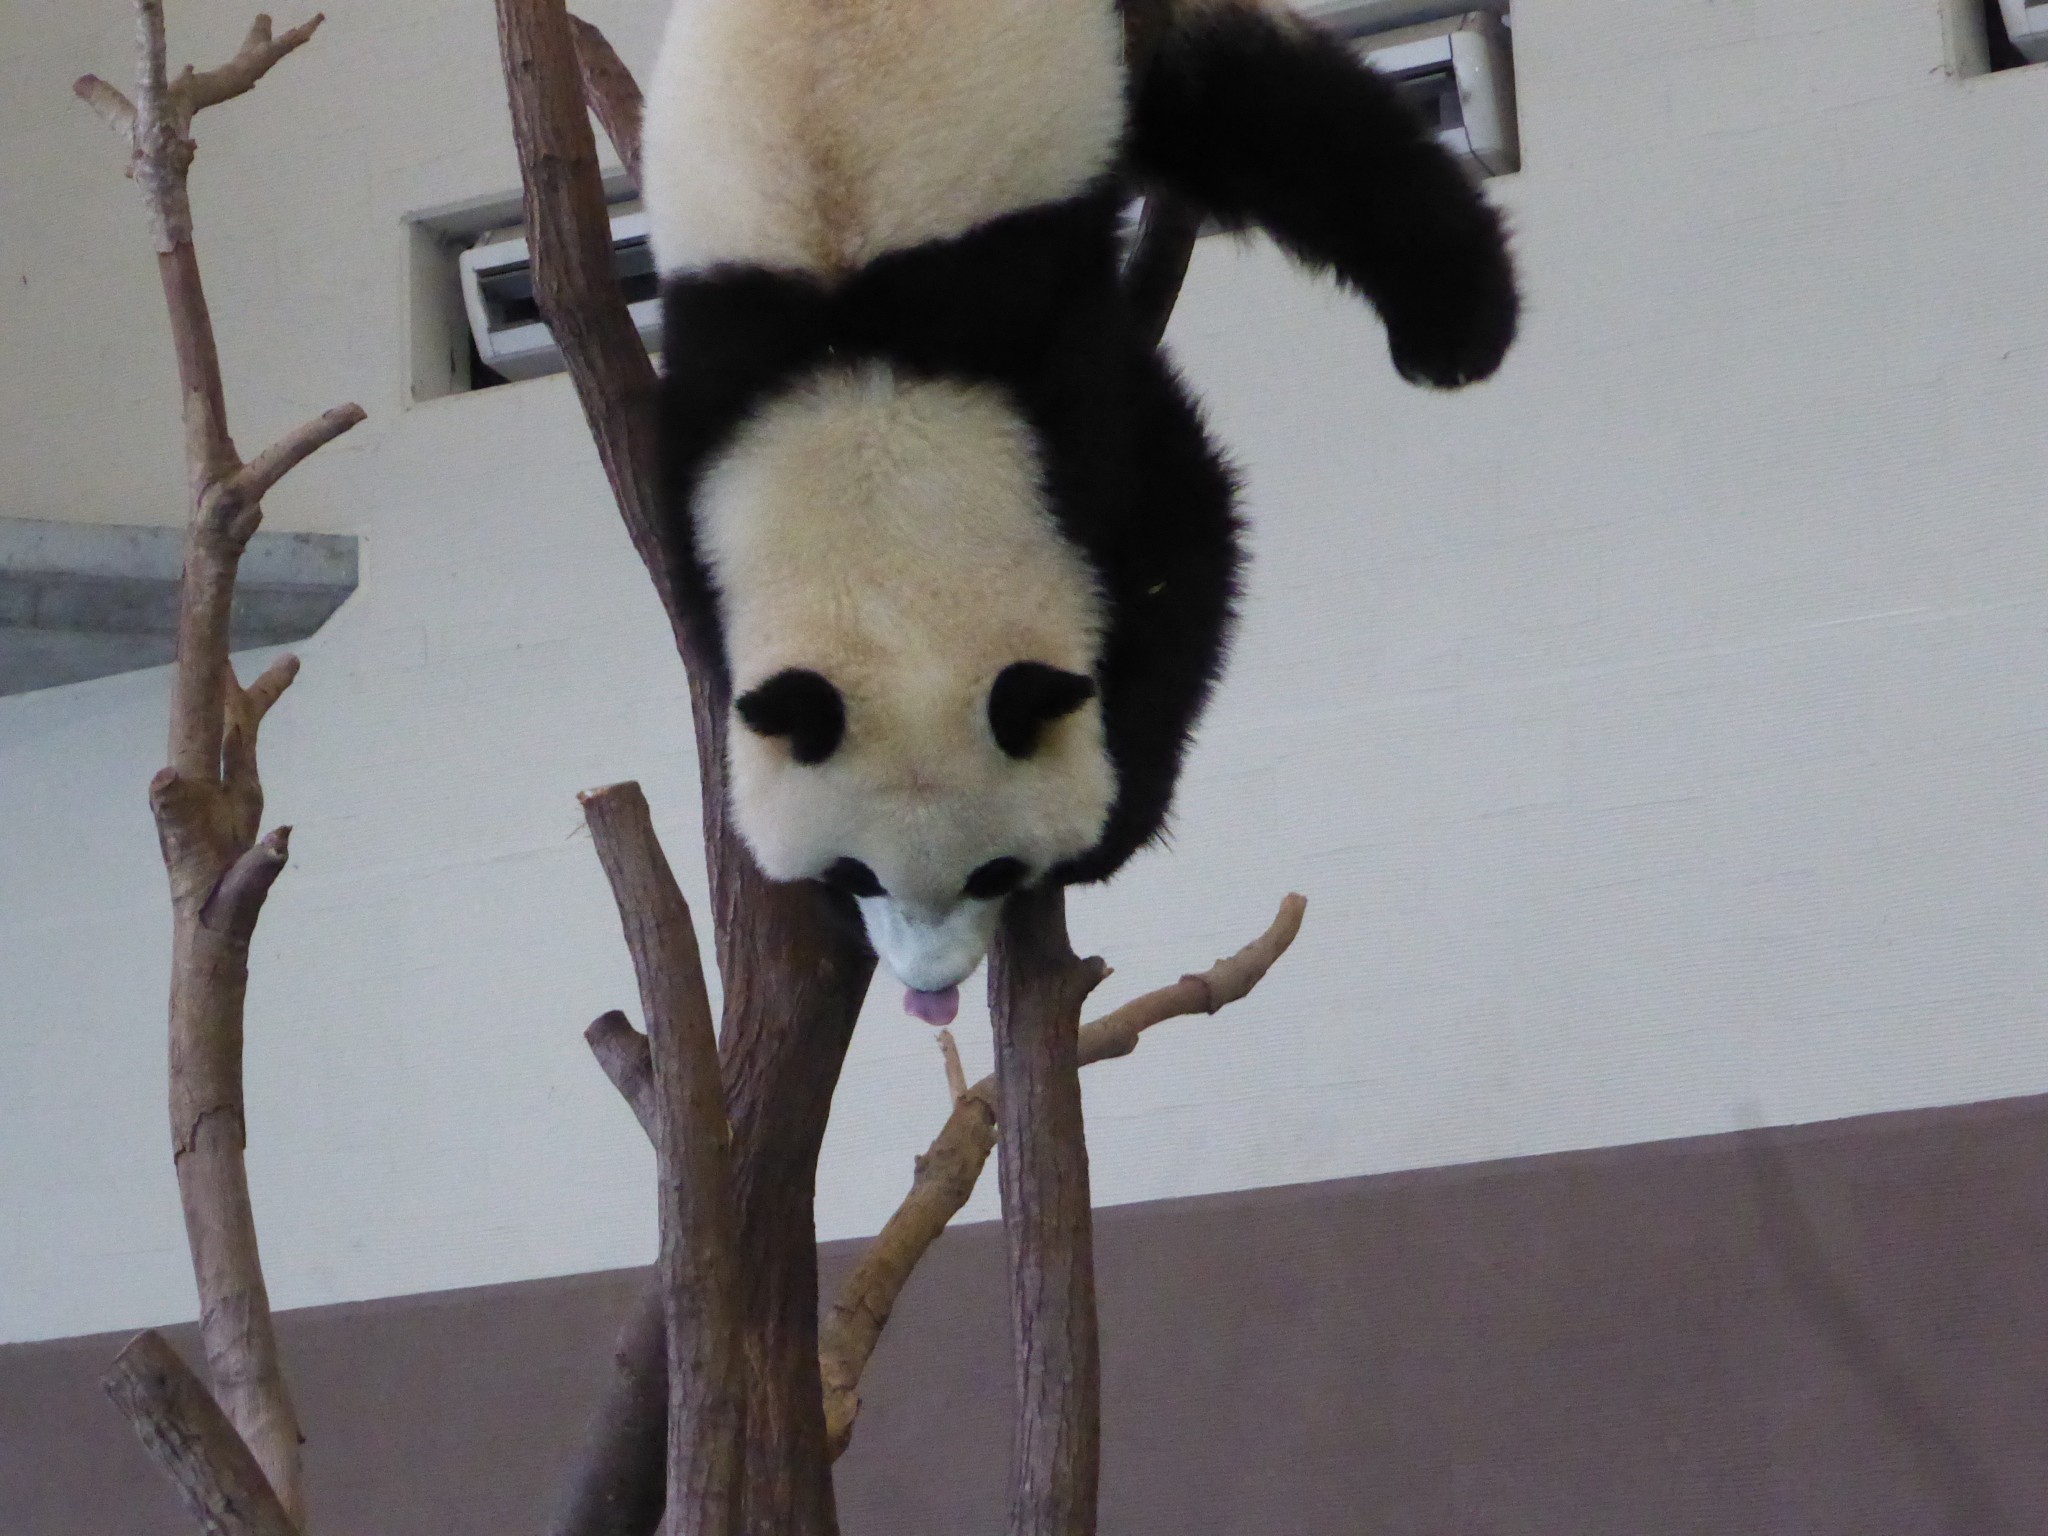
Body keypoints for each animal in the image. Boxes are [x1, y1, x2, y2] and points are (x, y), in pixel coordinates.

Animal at [642, 0, 1518, 1022]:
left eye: (990, 872)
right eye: (858, 872)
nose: (931, 989)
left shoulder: (1043, 356)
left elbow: (1185, 541)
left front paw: (1113, 821)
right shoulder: (713, 418)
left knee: (1277, 116)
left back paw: (1455, 330)